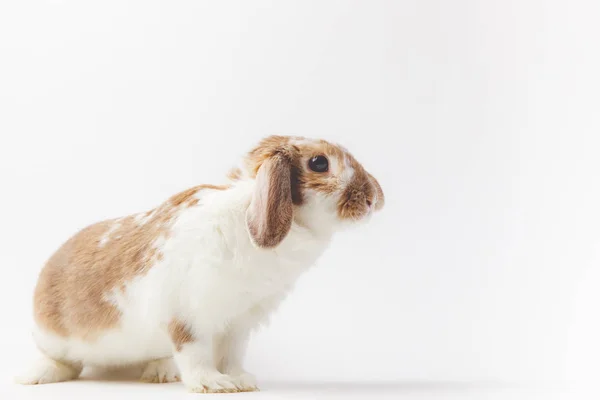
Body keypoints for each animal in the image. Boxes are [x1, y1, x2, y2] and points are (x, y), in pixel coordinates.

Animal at [17, 136, 384, 392]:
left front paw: (242, 381)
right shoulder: (188, 316)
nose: (374, 198)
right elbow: (195, 354)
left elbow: (232, 355)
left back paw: (160, 372)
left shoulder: (238, 323)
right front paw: (213, 384)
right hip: (51, 337)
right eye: (319, 162)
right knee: (62, 361)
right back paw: (34, 376)